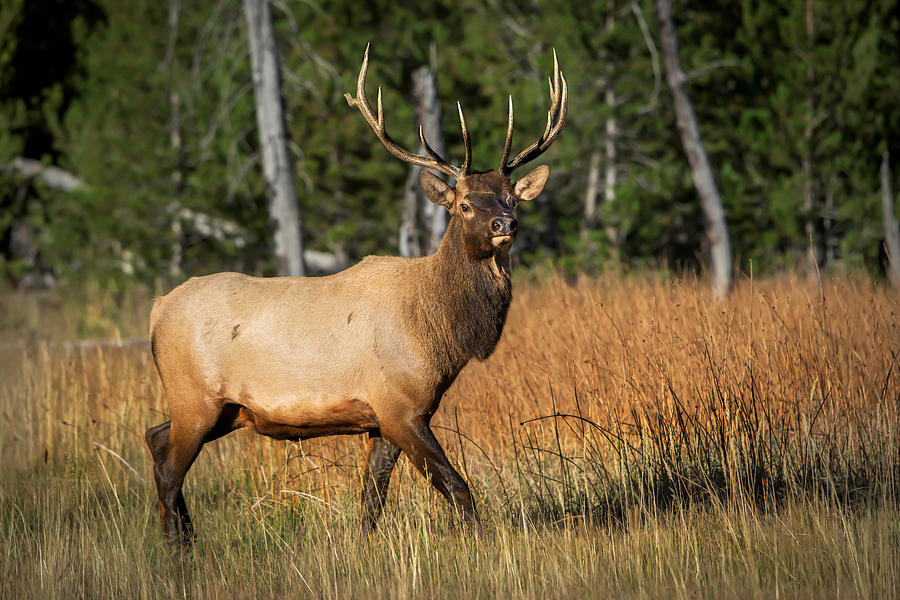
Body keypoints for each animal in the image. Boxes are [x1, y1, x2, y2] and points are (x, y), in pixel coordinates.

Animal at [148, 44, 568, 548]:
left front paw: (365, 549)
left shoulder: (383, 420)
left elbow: (372, 500)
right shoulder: (399, 406)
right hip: (194, 397)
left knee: (155, 439)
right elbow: (458, 488)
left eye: (512, 197)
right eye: (465, 204)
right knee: (170, 471)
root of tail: (155, 312)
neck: (441, 335)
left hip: (224, 410)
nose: (506, 224)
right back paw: (179, 551)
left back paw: (187, 539)